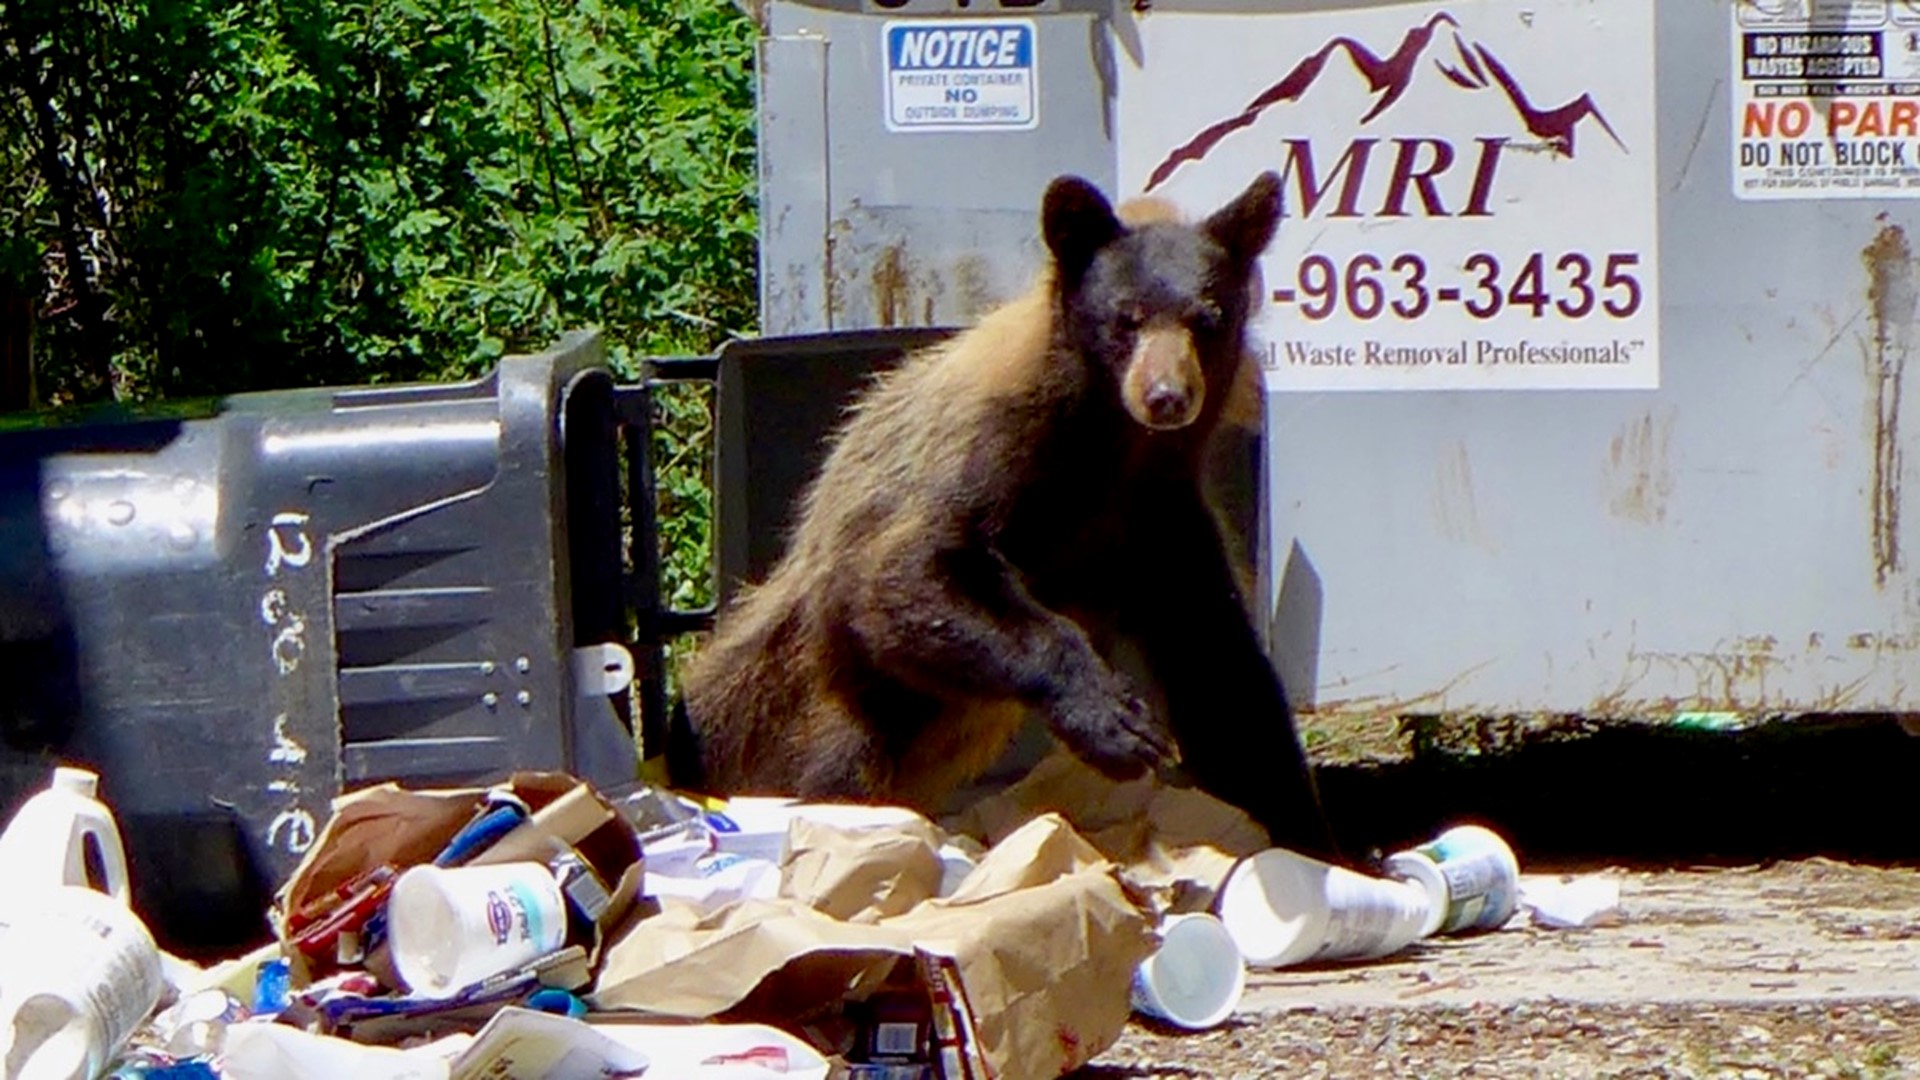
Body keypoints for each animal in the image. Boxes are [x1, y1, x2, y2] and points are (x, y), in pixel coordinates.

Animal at [677, 172, 1336, 859]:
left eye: (1209, 318)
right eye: (1125, 317)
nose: (1166, 397)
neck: (1111, 448)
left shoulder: (1159, 515)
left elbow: (1223, 674)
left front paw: (1309, 836)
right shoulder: (993, 456)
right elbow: (907, 576)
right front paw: (1115, 720)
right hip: (808, 694)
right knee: (832, 757)